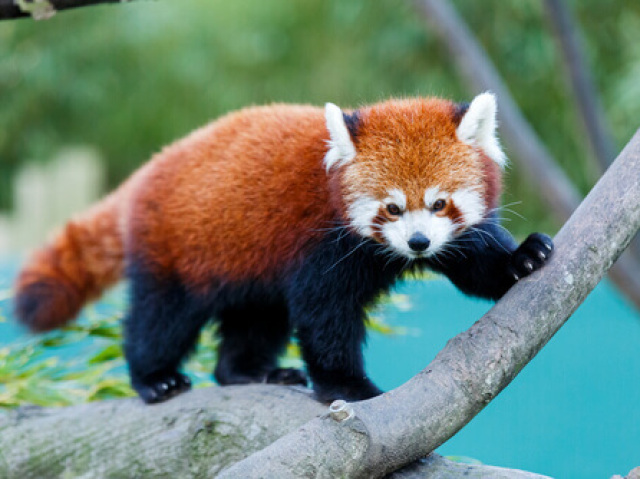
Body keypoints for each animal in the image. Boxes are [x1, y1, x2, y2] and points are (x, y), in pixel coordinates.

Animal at [15, 94, 556, 404]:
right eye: (392, 208)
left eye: (439, 203)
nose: (418, 242)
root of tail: (146, 173)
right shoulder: (320, 245)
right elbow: (324, 317)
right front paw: (347, 387)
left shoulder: (453, 236)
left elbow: (476, 262)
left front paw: (523, 258)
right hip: (175, 250)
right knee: (160, 320)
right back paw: (155, 378)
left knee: (256, 322)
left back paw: (248, 372)